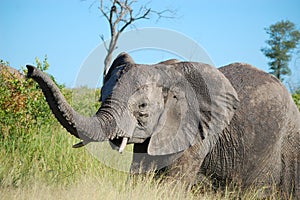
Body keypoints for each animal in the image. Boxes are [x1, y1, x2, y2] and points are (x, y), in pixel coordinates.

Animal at [26, 52, 300, 198]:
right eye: (102, 97)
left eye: (143, 107)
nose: (29, 69)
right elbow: (140, 177)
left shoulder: (196, 131)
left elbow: (171, 186)